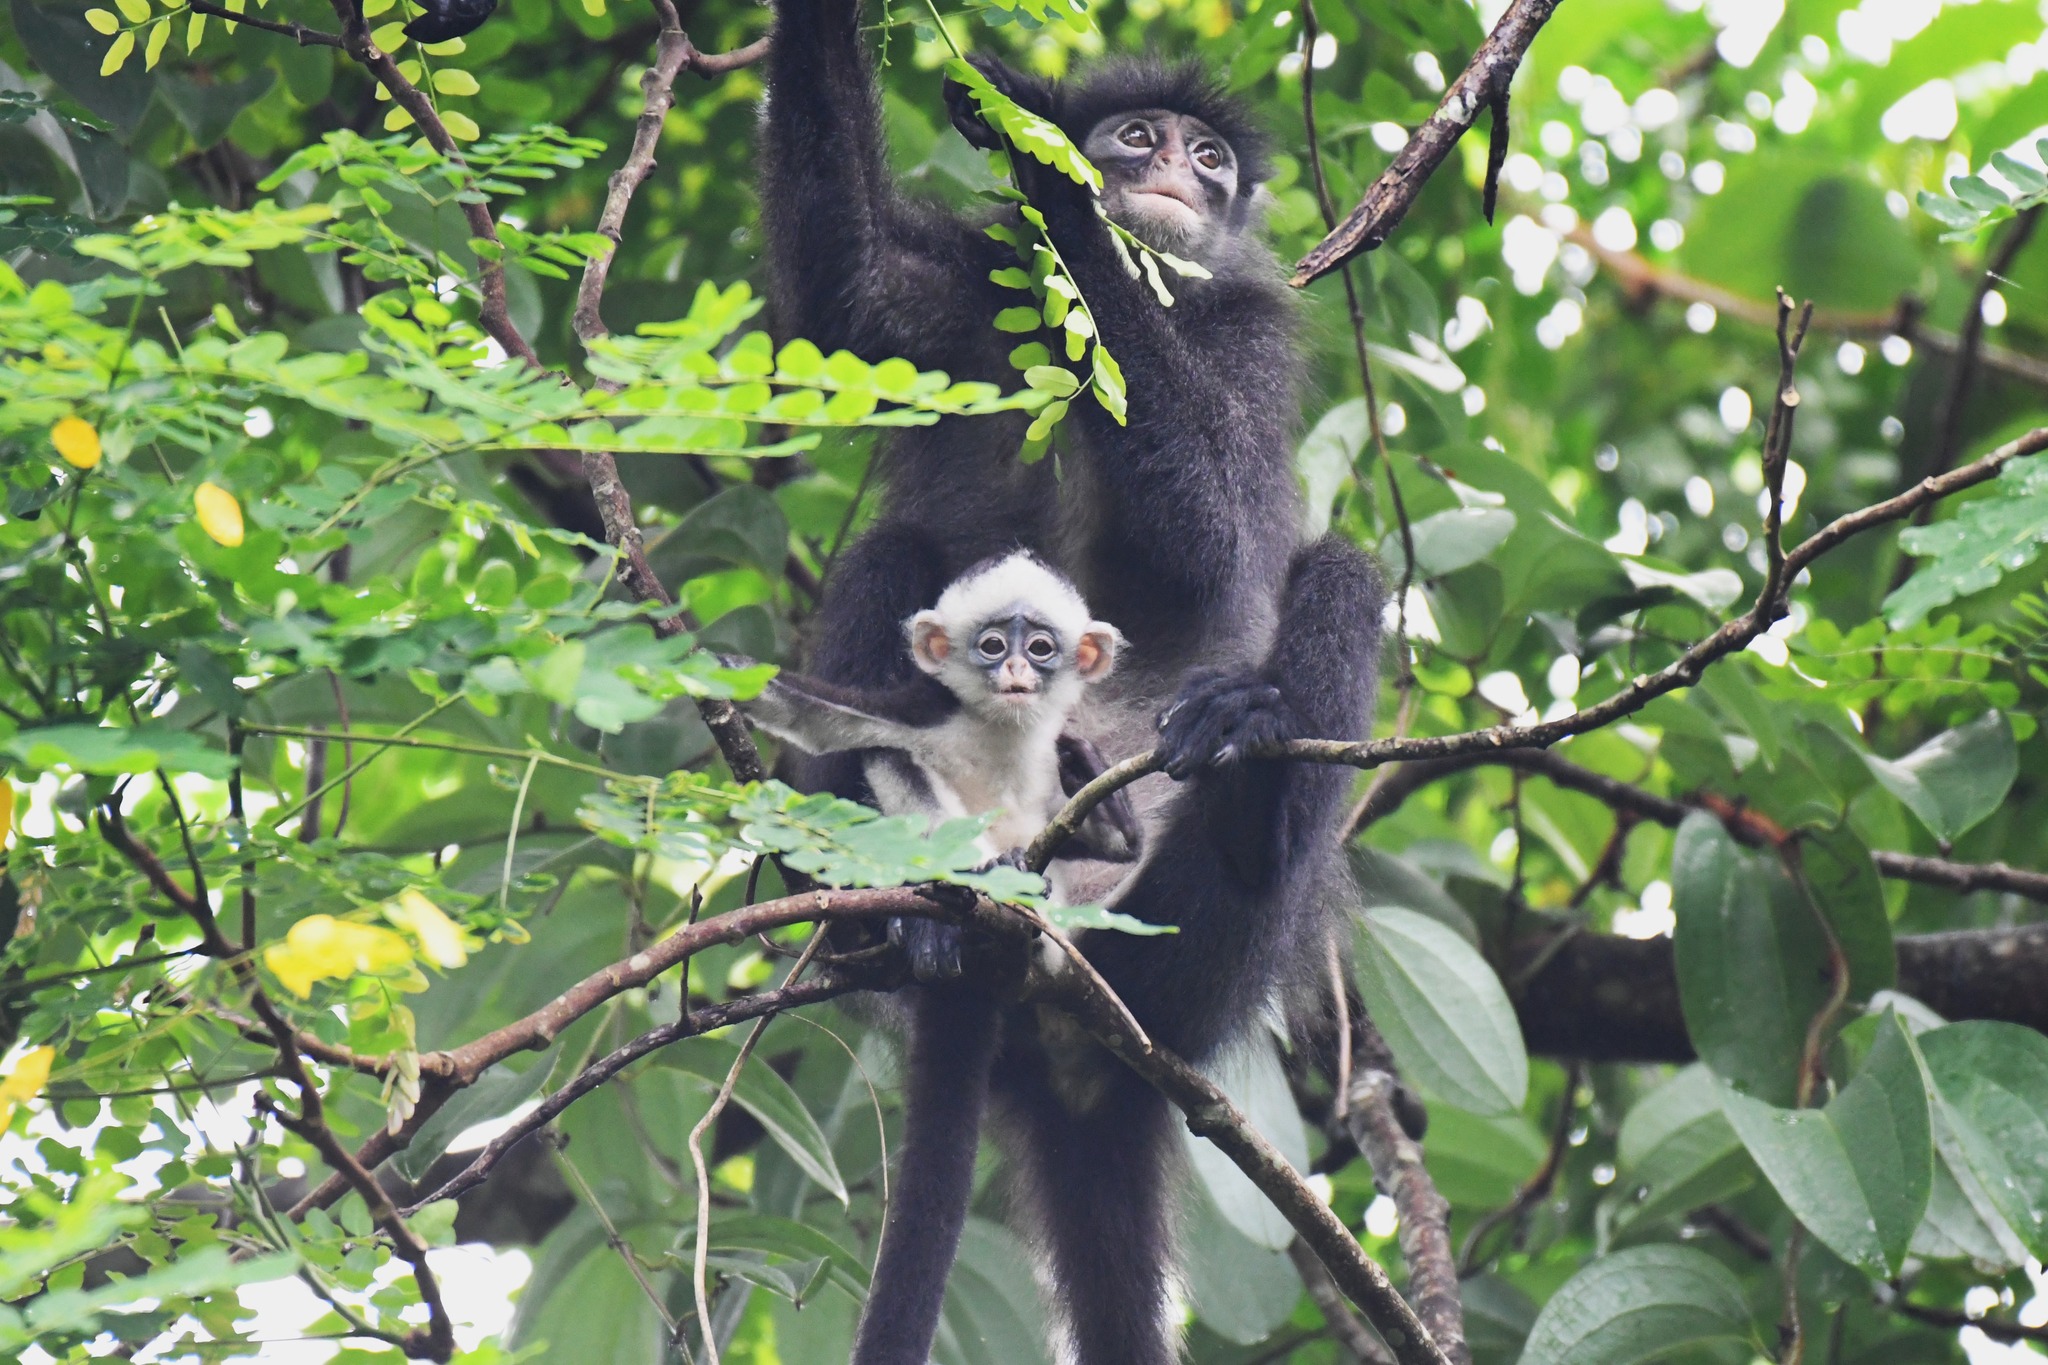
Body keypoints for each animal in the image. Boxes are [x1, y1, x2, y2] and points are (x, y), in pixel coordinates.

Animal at [745, 552, 1146, 970]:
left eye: (1039, 648)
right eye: (993, 645)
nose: (1016, 668)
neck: (1001, 730)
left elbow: (1117, 848)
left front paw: (1085, 764)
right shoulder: (927, 708)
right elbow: (818, 717)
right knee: (889, 756)